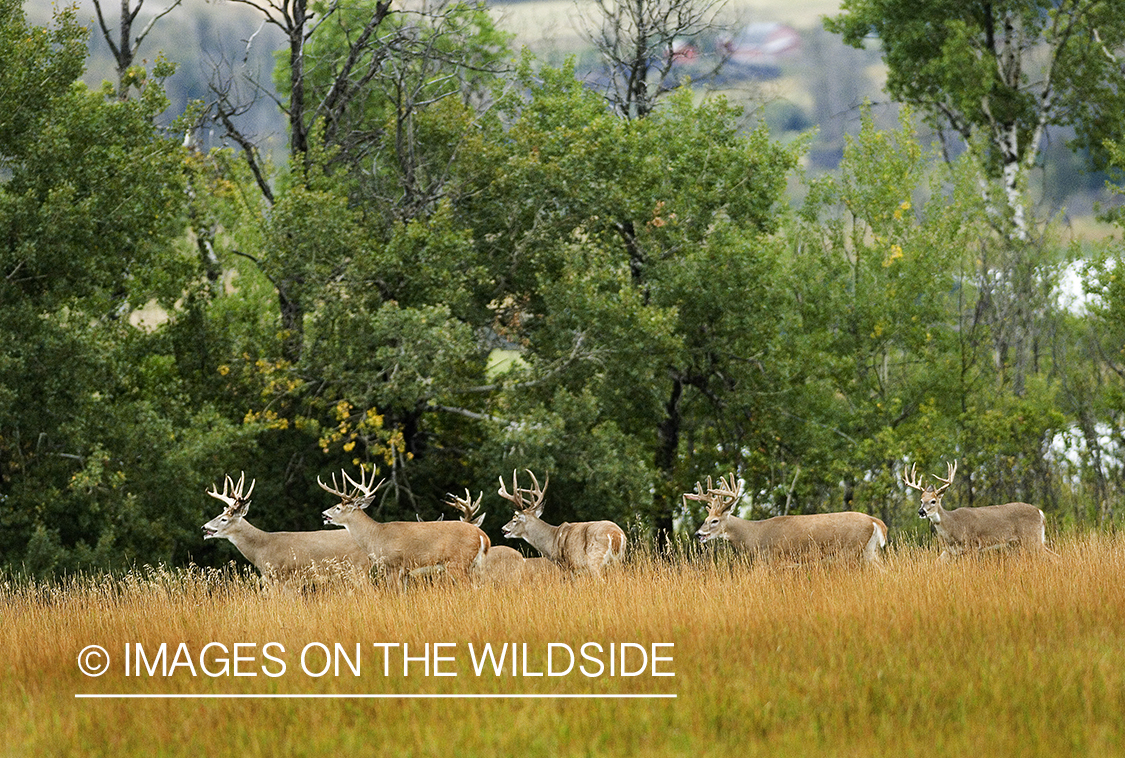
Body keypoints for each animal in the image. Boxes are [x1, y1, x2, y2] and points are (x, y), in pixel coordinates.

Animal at [319, 470, 490, 589]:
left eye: (338, 507)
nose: (324, 514)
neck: (375, 535)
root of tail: (482, 535)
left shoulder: (393, 565)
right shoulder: (405, 572)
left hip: (458, 562)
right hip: (474, 565)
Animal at [499, 465, 630, 580]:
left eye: (515, 520)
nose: (503, 529)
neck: (552, 540)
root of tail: (616, 535)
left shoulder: (567, 566)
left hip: (595, 560)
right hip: (618, 561)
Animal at [684, 472, 886, 560]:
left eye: (714, 521)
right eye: (705, 520)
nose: (698, 534)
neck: (754, 534)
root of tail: (874, 521)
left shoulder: (774, 558)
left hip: (851, 550)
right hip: (868, 550)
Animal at [900, 456, 1048, 557]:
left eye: (933, 501)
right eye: (921, 500)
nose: (921, 512)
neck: (952, 526)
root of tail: (1040, 512)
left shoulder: (973, 545)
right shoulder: (952, 552)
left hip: (1031, 538)